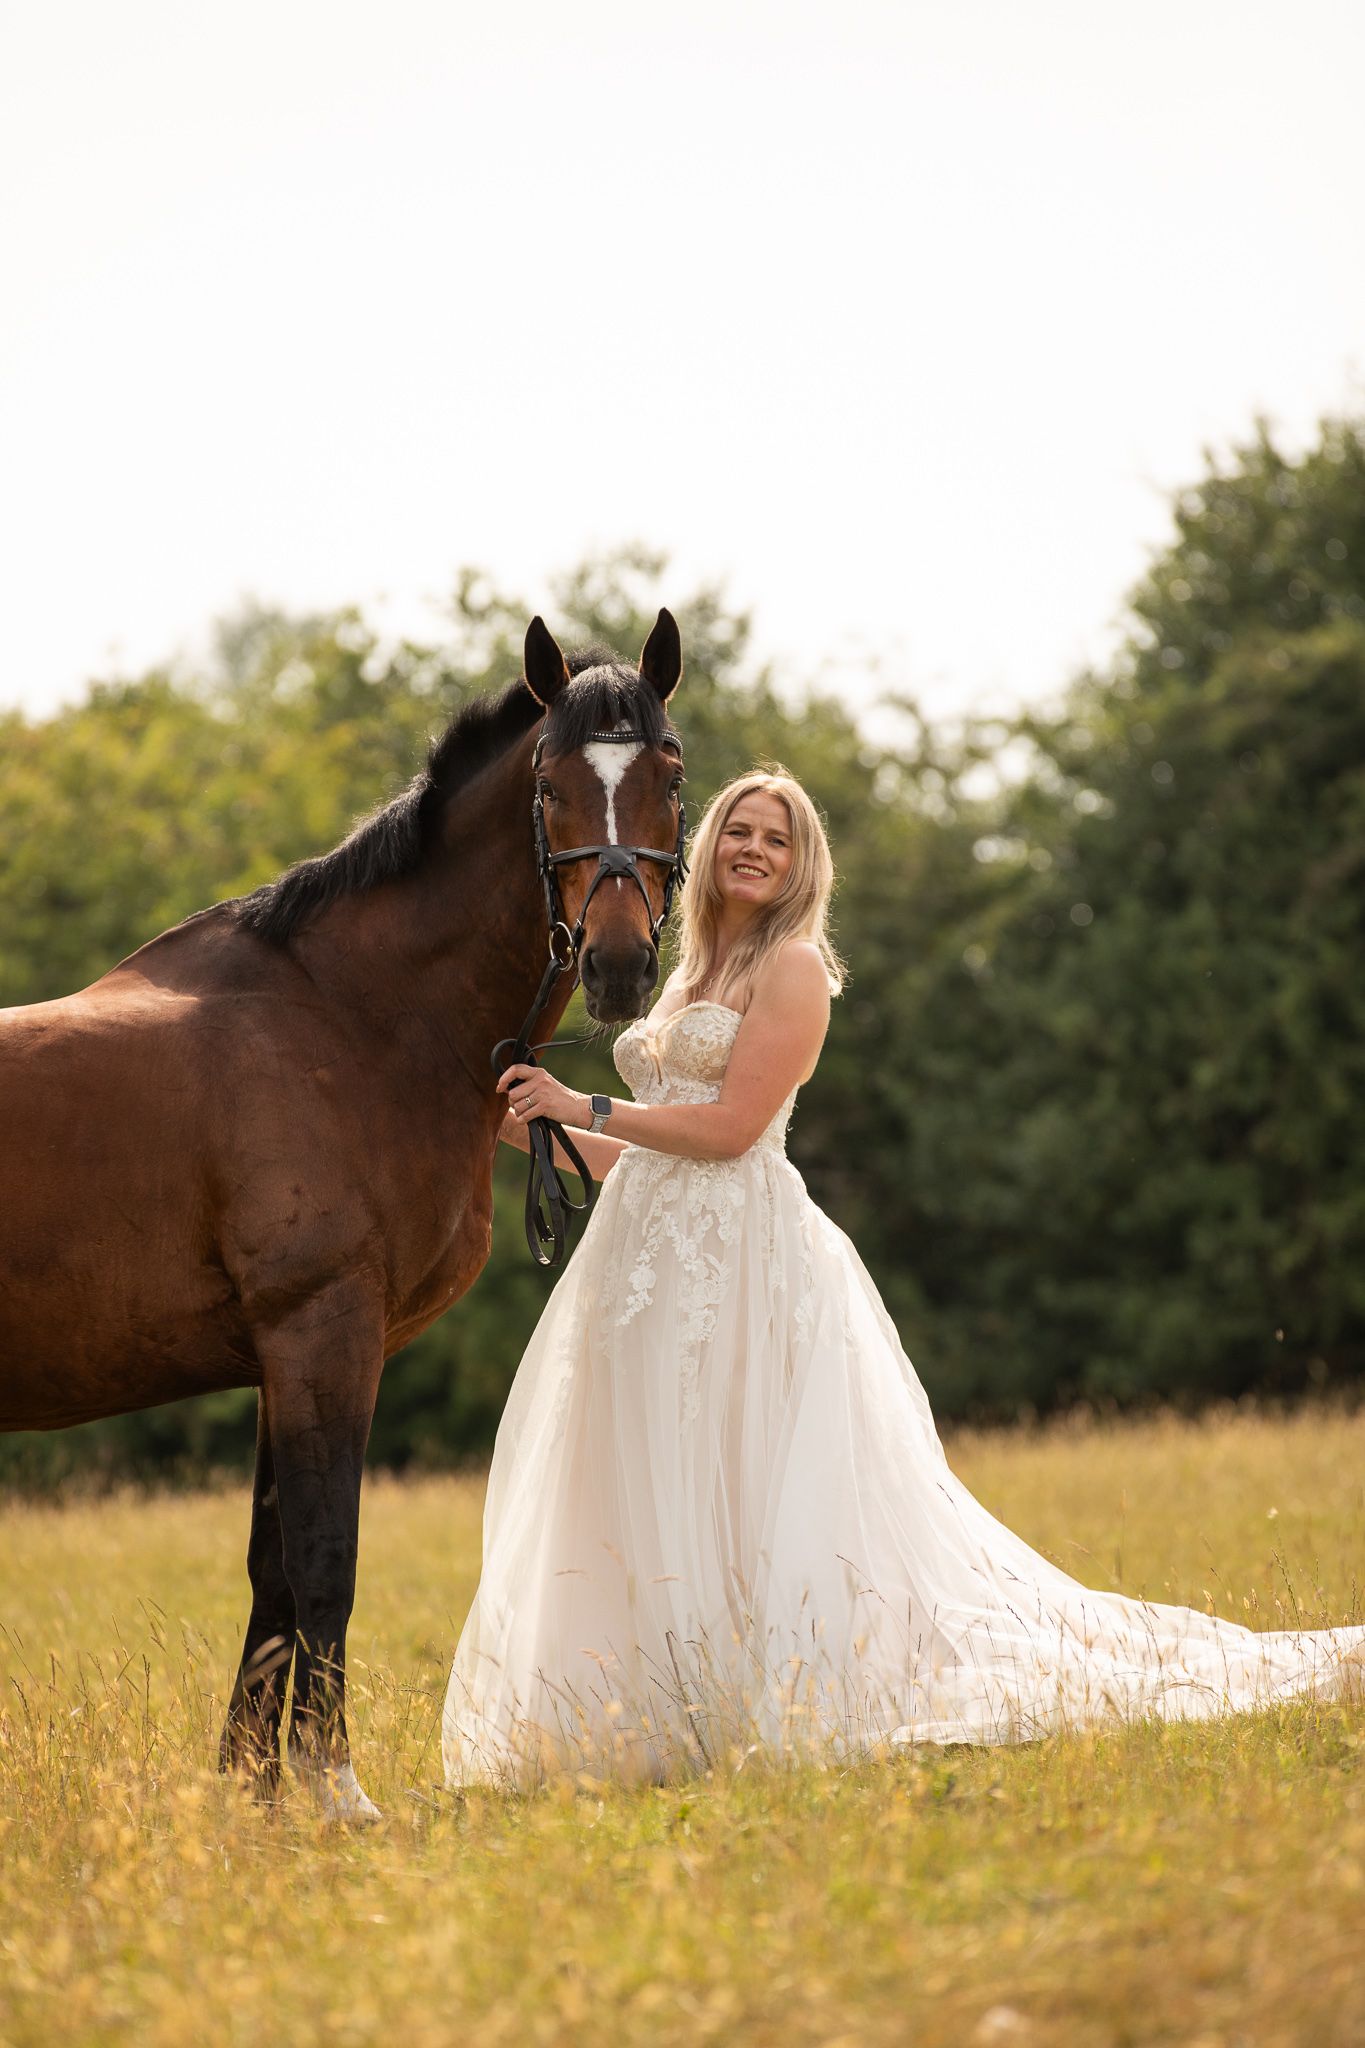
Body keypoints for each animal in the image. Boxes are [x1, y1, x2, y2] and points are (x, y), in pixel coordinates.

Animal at [0, 610, 687, 1818]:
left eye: (671, 772)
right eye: (551, 785)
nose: (616, 962)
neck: (353, 1021)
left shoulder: (286, 1353)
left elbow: (273, 1569)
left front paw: (253, 1791)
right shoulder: (323, 1332)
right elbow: (326, 1558)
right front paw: (333, 1789)